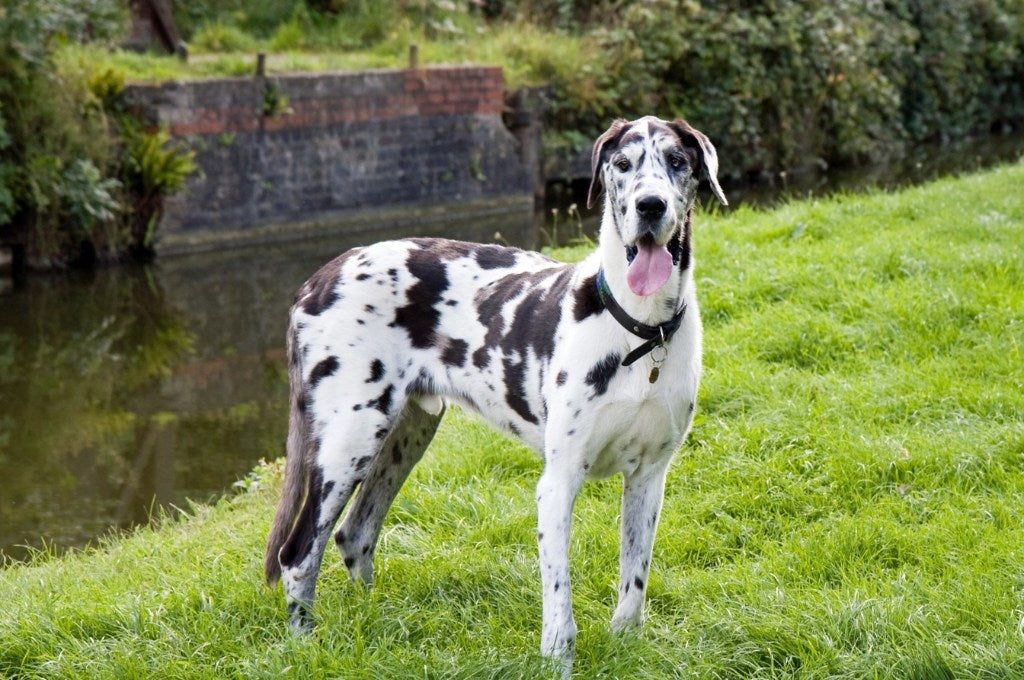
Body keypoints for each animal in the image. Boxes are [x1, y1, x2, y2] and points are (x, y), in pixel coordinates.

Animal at [264, 115, 729, 663]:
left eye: (677, 161)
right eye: (622, 164)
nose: (650, 205)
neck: (640, 330)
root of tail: (320, 276)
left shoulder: (649, 478)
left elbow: (633, 584)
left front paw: (626, 646)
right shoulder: (558, 482)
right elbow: (559, 612)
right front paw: (558, 662)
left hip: (406, 436)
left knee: (355, 536)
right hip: (348, 442)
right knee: (298, 555)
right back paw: (305, 647)